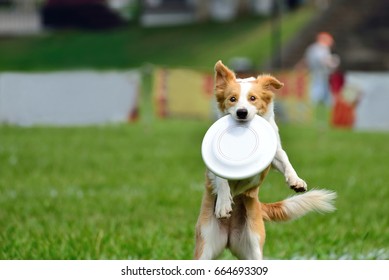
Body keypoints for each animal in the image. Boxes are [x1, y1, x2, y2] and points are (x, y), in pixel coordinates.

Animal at [194, 60, 336, 260]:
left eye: (253, 98)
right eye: (232, 99)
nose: (242, 112)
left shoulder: (274, 152)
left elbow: (285, 160)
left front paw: (296, 181)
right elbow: (221, 178)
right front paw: (223, 204)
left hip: (252, 244)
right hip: (205, 243)